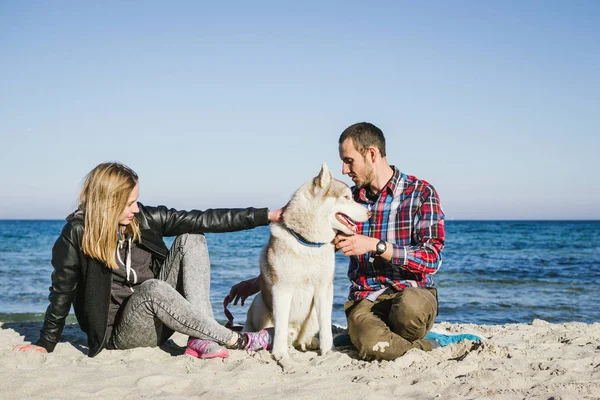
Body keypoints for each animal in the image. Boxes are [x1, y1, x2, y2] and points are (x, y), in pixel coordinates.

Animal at [245, 162, 370, 360]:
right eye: (347, 197)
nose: (370, 212)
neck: (308, 244)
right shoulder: (282, 289)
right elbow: (280, 327)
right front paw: (280, 354)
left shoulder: (324, 289)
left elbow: (326, 327)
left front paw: (329, 351)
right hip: (259, 302)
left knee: (305, 337)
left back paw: (311, 342)